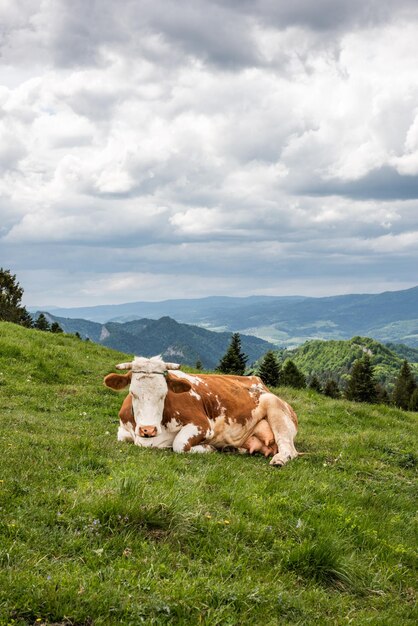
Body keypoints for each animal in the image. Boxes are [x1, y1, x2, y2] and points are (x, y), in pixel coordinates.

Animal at [105, 354, 300, 466]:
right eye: (133, 393)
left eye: (164, 394)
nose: (148, 430)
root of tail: (261, 383)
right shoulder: (123, 430)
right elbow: (123, 438)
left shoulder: (202, 425)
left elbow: (179, 444)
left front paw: (208, 448)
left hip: (276, 407)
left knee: (289, 448)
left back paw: (279, 460)